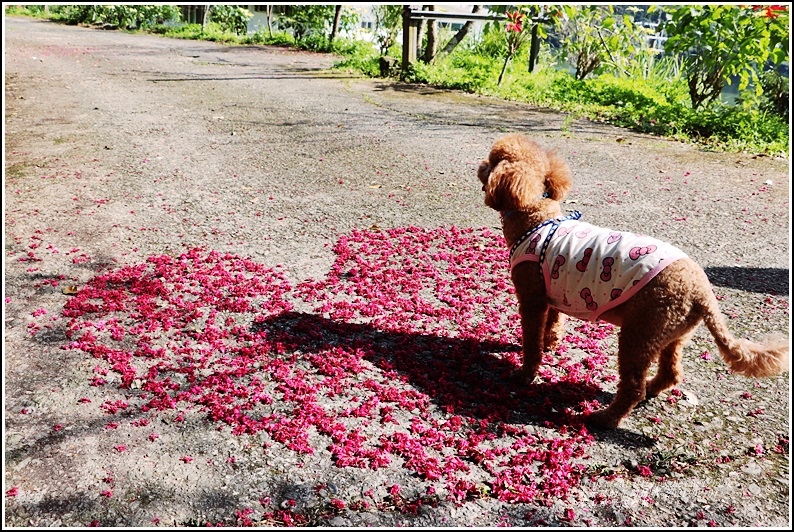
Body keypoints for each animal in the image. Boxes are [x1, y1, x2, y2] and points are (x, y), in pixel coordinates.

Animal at [476, 133, 784, 428]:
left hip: (640, 332)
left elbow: (531, 342)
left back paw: (606, 419)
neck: (536, 219)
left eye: (493, 161)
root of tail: (702, 292)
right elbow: (553, 324)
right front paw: (551, 344)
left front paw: (525, 374)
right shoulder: (552, 292)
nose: (480, 166)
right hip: (670, 334)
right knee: (671, 373)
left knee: (633, 387)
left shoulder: (532, 298)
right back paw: (650, 389)